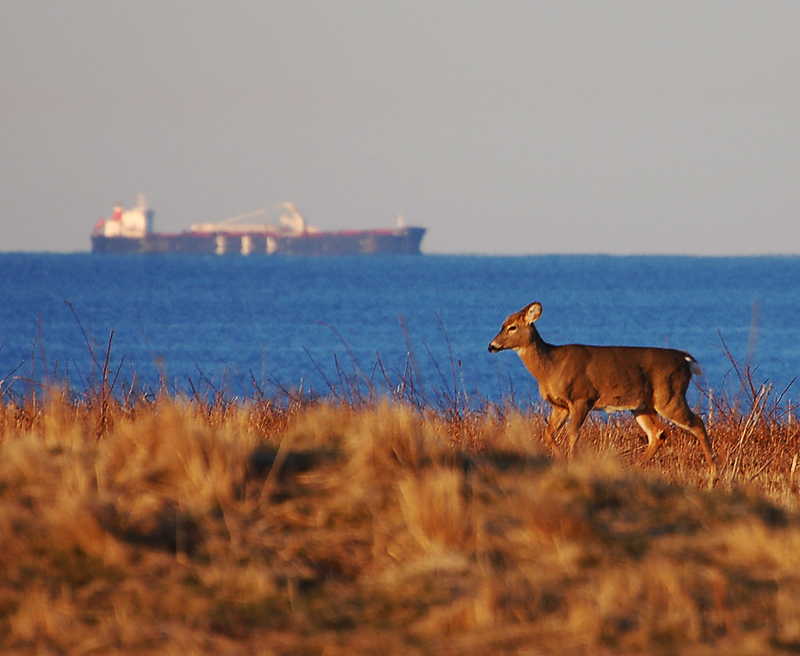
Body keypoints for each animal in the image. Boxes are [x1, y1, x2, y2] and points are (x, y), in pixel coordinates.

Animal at [488, 302, 720, 482]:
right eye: (502, 325)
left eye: (512, 327)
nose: (491, 346)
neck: (550, 367)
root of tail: (685, 359)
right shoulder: (560, 405)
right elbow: (548, 433)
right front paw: (560, 460)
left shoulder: (582, 397)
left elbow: (573, 435)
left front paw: (571, 464)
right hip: (643, 405)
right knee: (658, 433)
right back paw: (636, 467)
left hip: (669, 396)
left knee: (697, 423)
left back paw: (713, 475)